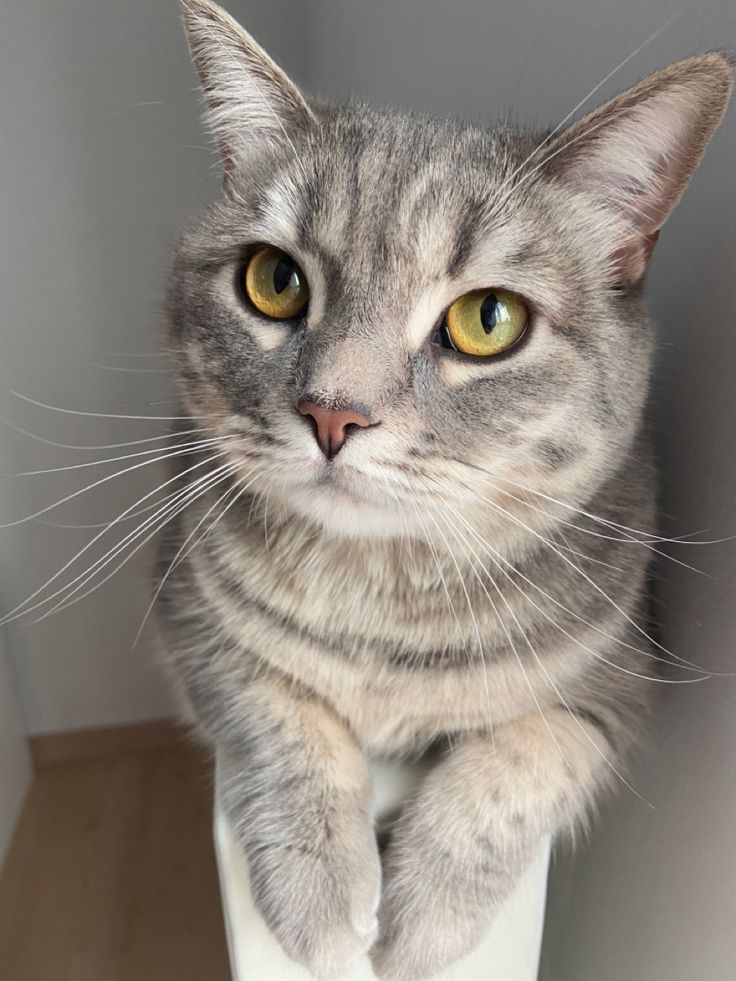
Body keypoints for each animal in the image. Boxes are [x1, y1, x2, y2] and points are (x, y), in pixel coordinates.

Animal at [154, 3, 732, 976]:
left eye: (486, 320)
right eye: (274, 281)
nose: (332, 413)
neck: (382, 608)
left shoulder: (620, 681)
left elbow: (522, 756)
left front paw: (423, 918)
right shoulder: (187, 611)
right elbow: (273, 709)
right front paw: (321, 889)